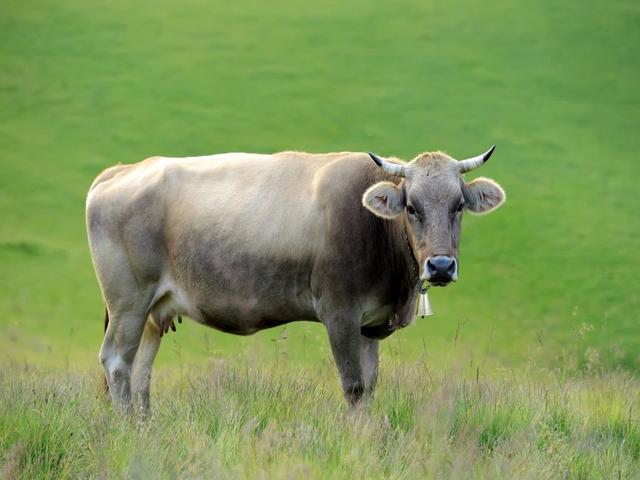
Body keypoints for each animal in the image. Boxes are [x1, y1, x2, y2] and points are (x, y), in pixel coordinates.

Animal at [85, 147, 505, 412]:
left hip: (154, 311)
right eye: (412, 208)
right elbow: (354, 387)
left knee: (140, 371)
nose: (440, 266)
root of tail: (122, 170)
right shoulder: (340, 313)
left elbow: (370, 387)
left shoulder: (368, 324)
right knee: (118, 363)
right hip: (128, 301)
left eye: (458, 206)